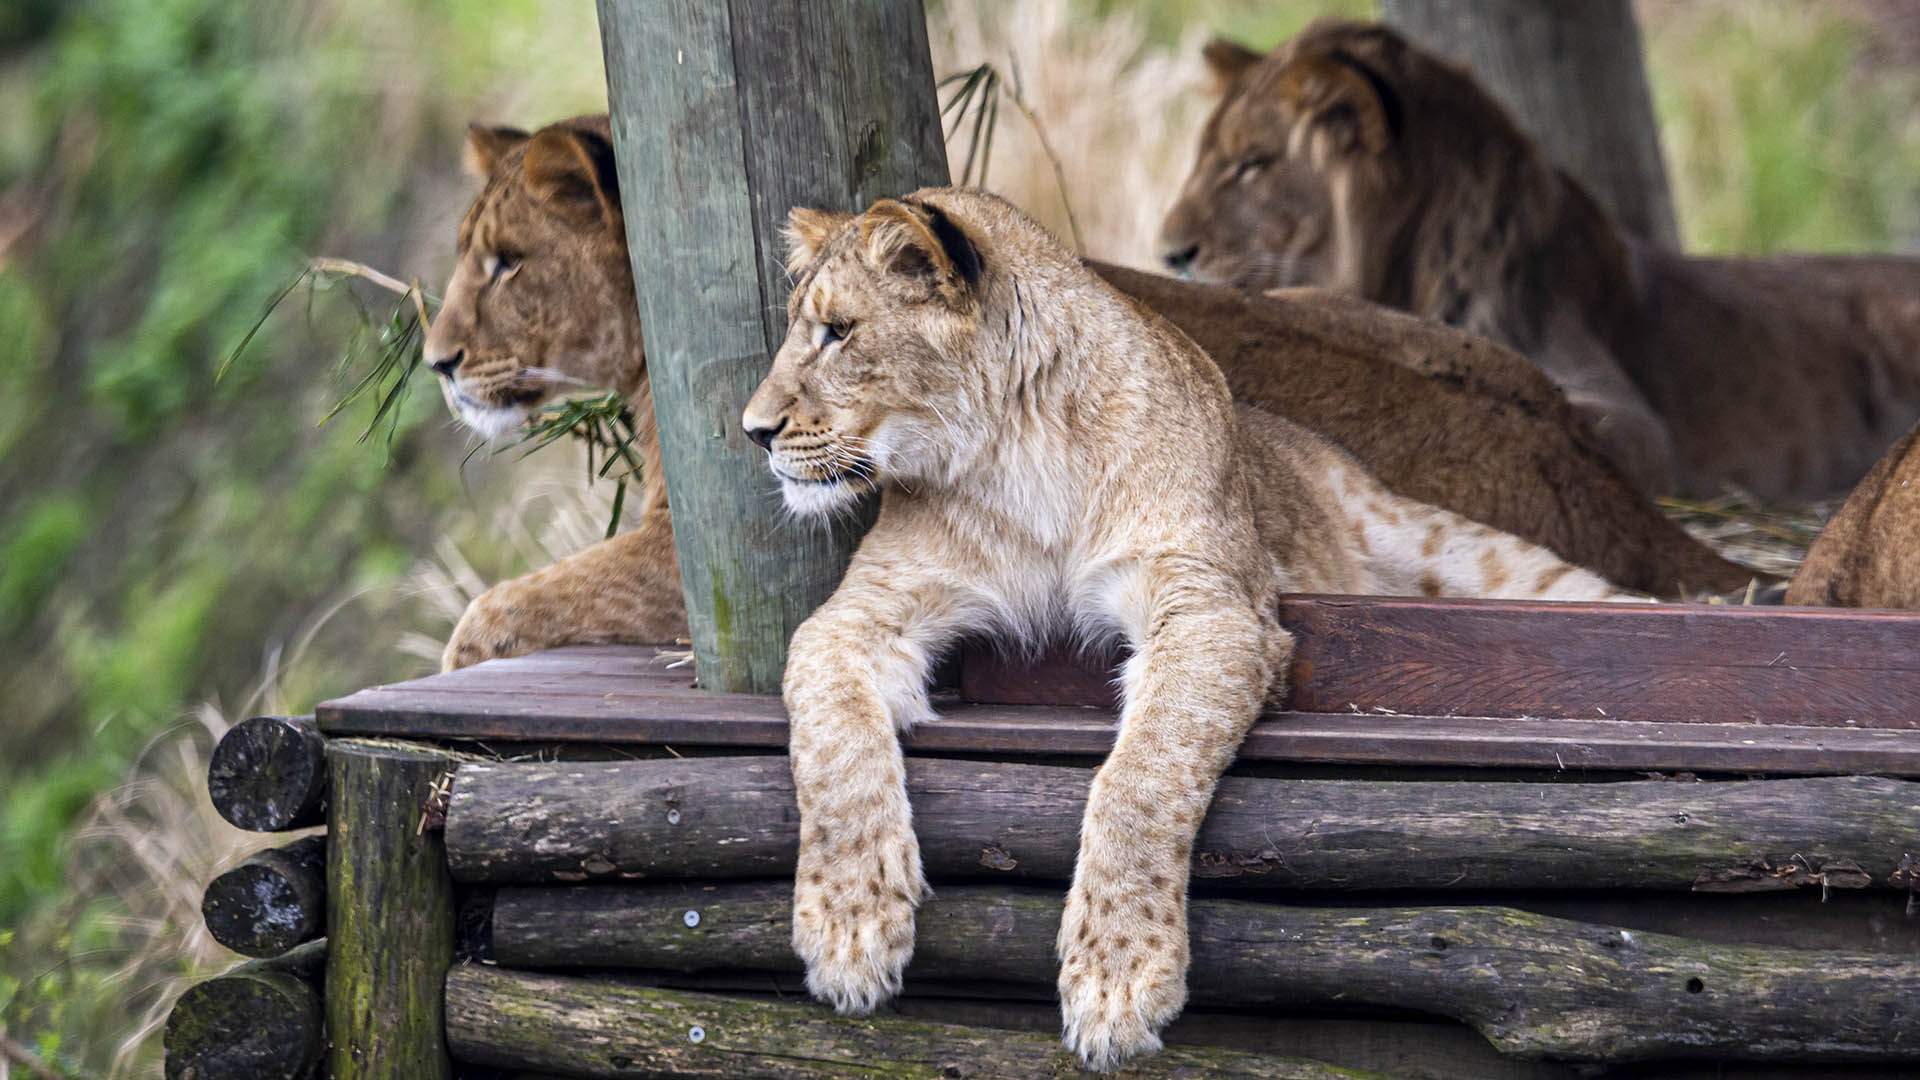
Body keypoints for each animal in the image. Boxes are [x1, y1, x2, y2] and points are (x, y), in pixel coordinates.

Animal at [748, 187, 1635, 1068]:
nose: (755, 431)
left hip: (1458, 550)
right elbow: (832, 748)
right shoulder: (860, 612)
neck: (1013, 459)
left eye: (839, 331)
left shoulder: (1211, 608)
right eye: (802, 327)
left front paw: (1117, 978)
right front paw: (849, 927)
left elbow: (1140, 778)